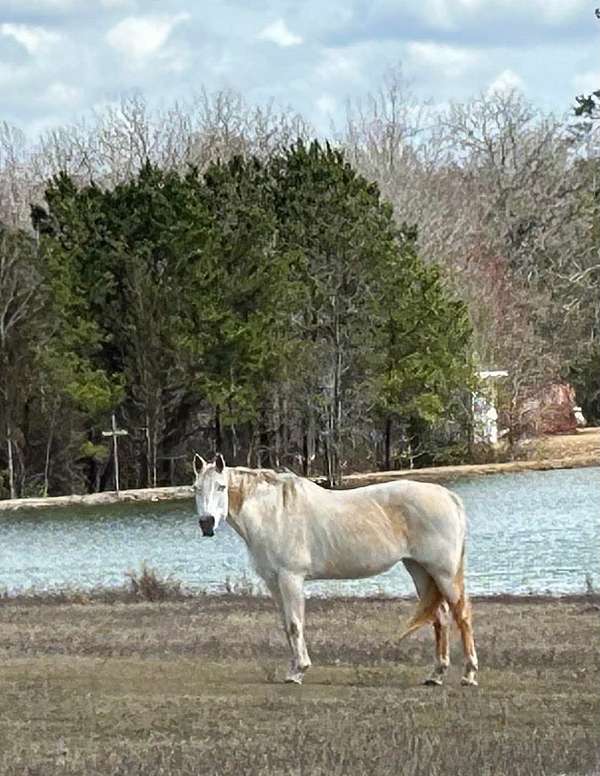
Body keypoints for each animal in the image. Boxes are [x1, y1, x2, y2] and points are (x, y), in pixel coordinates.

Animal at [195, 454, 480, 684]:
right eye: (196, 488)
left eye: (221, 487)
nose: (207, 524)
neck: (274, 513)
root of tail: (448, 496)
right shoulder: (273, 582)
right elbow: (286, 625)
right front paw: (293, 668)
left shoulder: (291, 578)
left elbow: (296, 624)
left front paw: (298, 671)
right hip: (420, 570)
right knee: (440, 618)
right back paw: (436, 675)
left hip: (444, 573)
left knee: (462, 616)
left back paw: (469, 674)